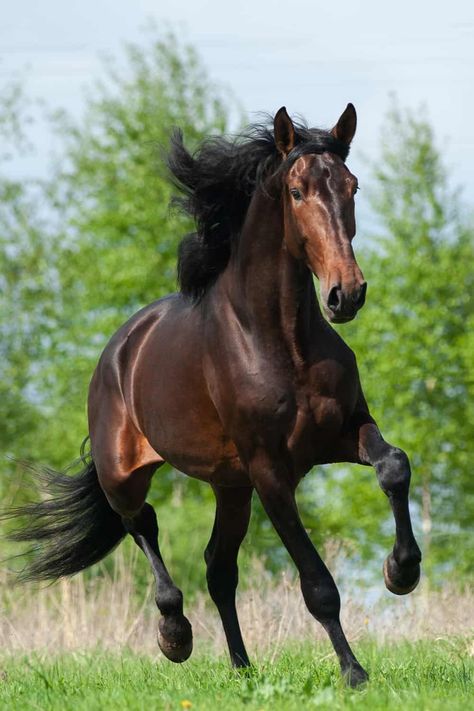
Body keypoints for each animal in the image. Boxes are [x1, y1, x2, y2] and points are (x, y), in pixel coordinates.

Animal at [5, 104, 422, 684]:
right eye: (297, 192)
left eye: (352, 186)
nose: (347, 294)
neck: (280, 341)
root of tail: (121, 347)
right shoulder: (270, 470)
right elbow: (317, 585)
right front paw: (354, 674)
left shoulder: (342, 432)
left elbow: (394, 465)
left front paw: (400, 572)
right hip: (127, 474)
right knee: (142, 523)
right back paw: (175, 635)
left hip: (231, 486)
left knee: (217, 567)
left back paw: (242, 668)